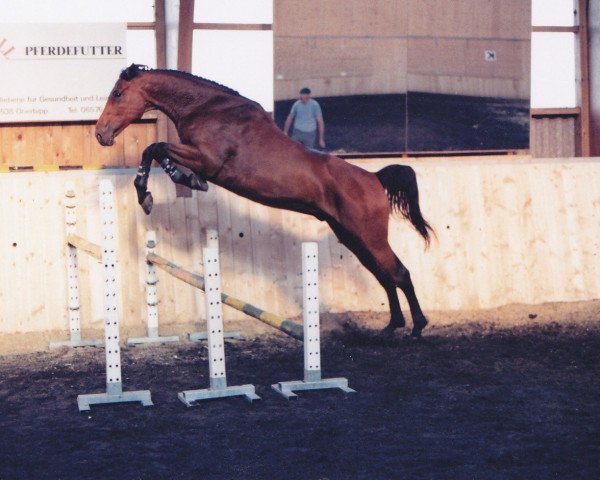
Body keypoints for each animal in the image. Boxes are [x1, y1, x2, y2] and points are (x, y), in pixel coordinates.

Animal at [96, 64, 434, 338]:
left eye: (117, 93)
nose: (100, 134)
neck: (206, 108)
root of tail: (375, 178)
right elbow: (157, 151)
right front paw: (170, 184)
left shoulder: (208, 159)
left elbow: (155, 147)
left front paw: (151, 192)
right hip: (351, 237)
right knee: (385, 276)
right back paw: (391, 326)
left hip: (369, 236)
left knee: (399, 273)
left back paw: (417, 327)